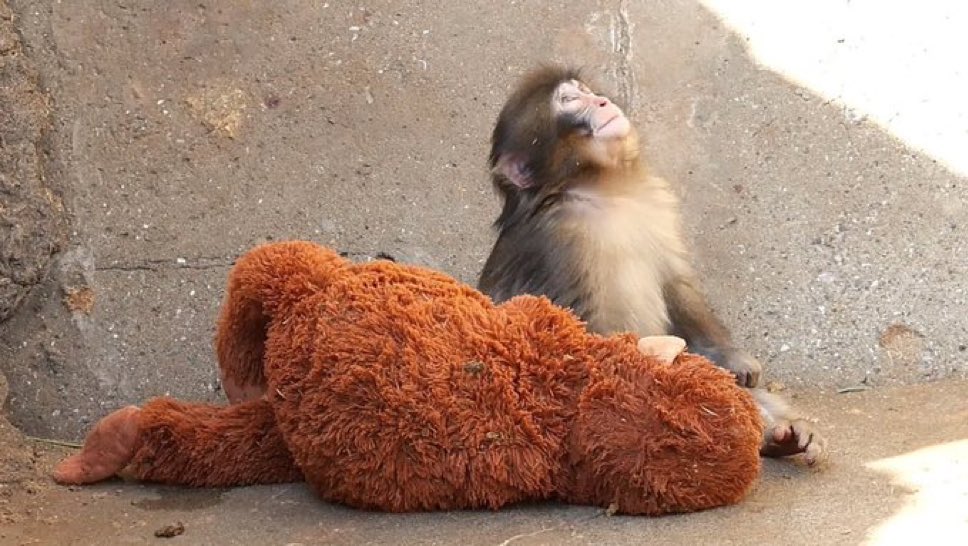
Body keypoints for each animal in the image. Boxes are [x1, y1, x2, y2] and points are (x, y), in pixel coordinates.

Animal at [477, 66, 827, 464]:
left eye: (584, 91)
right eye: (569, 101)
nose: (602, 101)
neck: (603, 190)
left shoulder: (655, 202)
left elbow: (677, 286)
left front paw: (732, 359)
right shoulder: (558, 243)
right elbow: (581, 337)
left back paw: (780, 434)